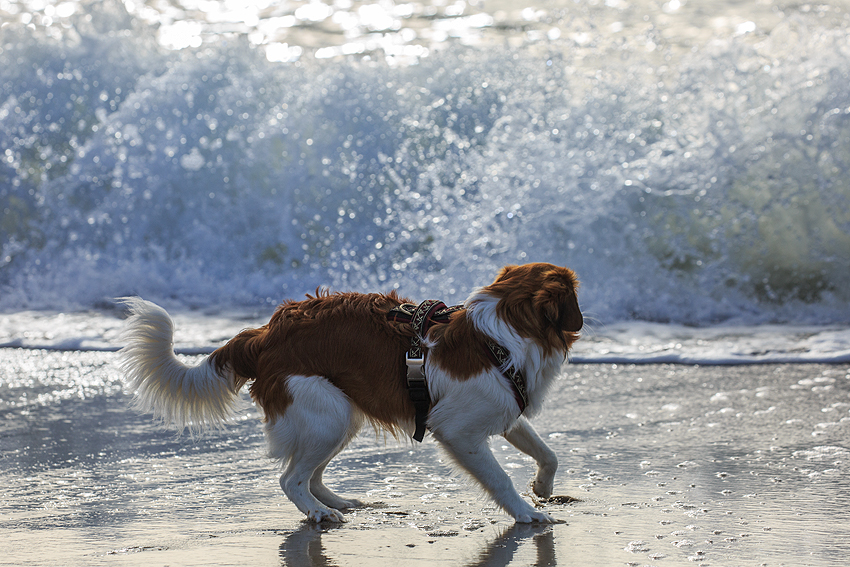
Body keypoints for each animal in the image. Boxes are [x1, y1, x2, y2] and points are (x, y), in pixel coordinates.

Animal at [119, 262, 580, 524]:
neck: (498, 339)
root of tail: (266, 333)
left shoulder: (507, 413)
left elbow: (548, 452)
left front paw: (542, 488)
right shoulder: (459, 432)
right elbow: (499, 478)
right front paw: (526, 513)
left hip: (342, 414)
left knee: (311, 474)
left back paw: (337, 502)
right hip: (329, 413)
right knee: (291, 478)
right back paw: (318, 513)